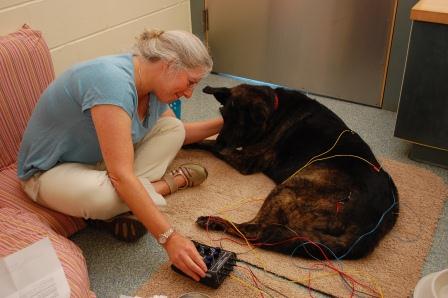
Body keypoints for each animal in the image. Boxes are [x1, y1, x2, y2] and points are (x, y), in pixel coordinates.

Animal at [187, 84, 398, 258]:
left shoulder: (246, 160)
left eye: (240, 123)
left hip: (289, 188)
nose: (222, 142)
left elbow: (210, 144)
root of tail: (372, 226)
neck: (276, 109)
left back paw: (214, 221)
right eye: (223, 116)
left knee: (255, 231)